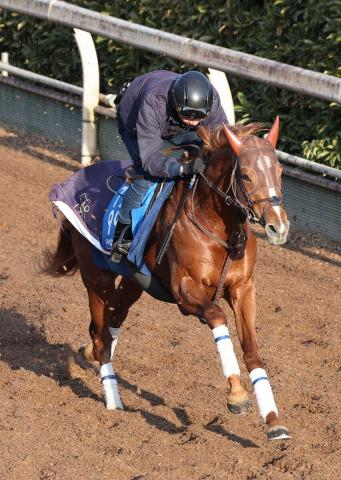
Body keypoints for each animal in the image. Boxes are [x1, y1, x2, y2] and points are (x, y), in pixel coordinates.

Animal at [44, 118, 290, 440]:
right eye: (246, 176)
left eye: (279, 172)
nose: (278, 226)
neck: (217, 228)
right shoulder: (184, 290)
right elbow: (217, 316)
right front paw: (236, 395)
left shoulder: (243, 288)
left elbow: (252, 350)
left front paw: (273, 421)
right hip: (96, 279)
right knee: (101, 332)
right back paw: (113, 399)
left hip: (134, 282)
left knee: (112, 320)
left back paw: (90, 354)